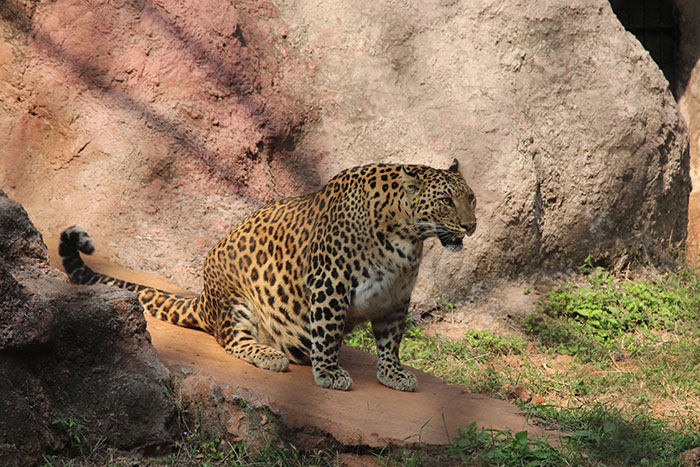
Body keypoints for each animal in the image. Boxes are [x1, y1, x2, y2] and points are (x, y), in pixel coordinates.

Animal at [59, 160, 476, 391]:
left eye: (471, 197)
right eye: (445, 201)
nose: (471, 226)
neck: (407, 236)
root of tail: (205, 297)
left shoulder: (396, 296)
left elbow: (391, 341)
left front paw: (393, 374)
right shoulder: (331, 283)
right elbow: (328, 331)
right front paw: (329, 374)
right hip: (237, 301)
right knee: (230, 339)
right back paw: (270, 355)